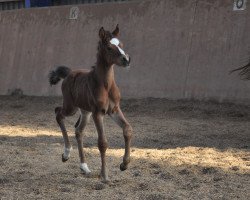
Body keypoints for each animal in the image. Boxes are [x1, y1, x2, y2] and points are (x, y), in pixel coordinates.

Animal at [49, 25, 134, 183]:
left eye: (121, 44)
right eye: (109, 47)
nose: (126, 59)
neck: (105, 85)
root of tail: (69, 73)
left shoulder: (114, 110)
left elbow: (127, 129)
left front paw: (124, 164)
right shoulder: (98, 113)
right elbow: (102, 143)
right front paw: (105, 176)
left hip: (85, 112)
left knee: (78, 131)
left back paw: (84, 167)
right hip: (71, 107)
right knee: (58, 113)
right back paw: (66, 154)